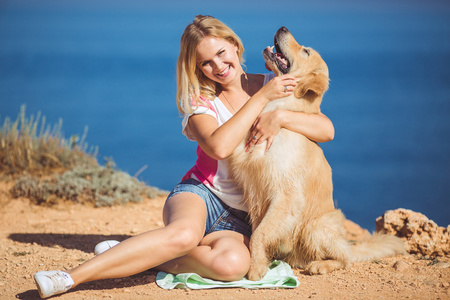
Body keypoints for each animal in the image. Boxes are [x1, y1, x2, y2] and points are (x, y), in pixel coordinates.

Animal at [229, 27, 404, 280]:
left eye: (306, 51)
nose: (283, 28)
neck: (278, 110)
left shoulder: (286, 194)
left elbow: (259, 234)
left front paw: (255, 271)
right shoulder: (255, 188)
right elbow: (256, 231)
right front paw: (260, 263)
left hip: (314, 227)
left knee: (345, 259)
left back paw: (321, 265)